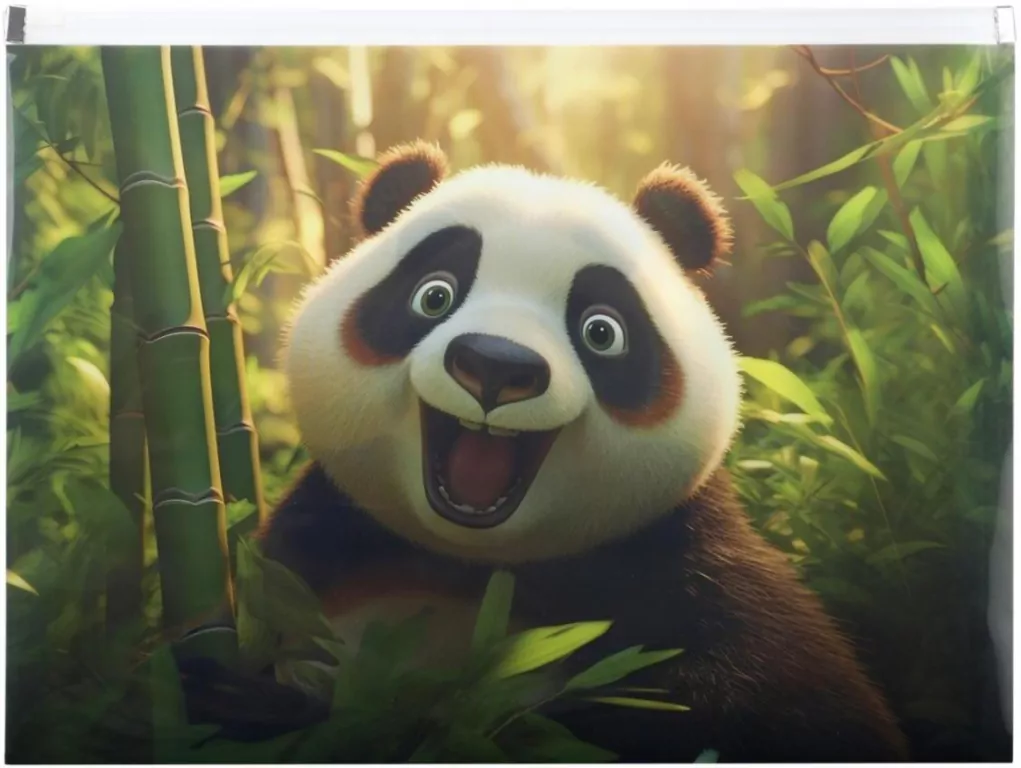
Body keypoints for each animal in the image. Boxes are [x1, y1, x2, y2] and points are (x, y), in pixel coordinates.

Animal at [256, 141, 908, 762]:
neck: (479, 563)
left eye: (602, 331)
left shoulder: (686, 568)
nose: (495, 365)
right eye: (433, 296)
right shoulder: (318, 548)